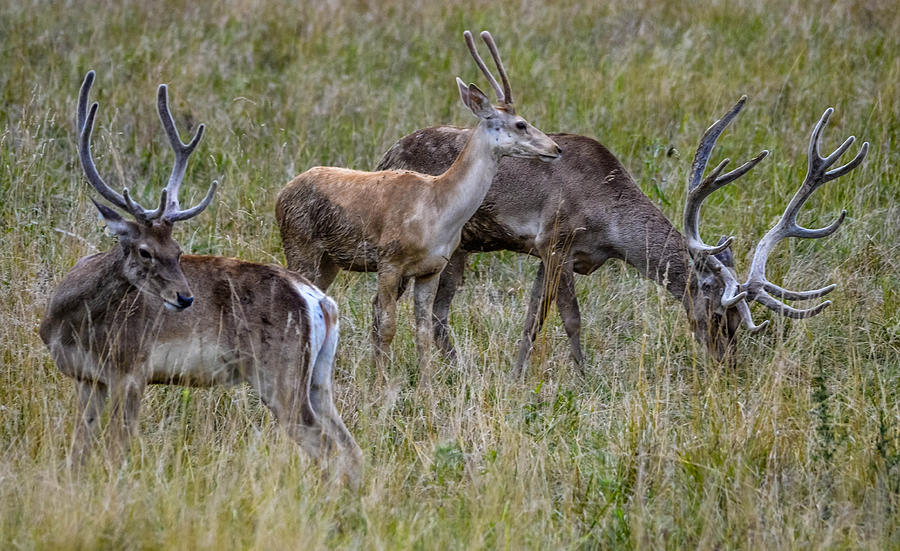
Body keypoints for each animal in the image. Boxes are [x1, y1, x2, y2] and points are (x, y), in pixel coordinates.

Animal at [38, 70, 362, 488]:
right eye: (145, 250)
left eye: (178, 251)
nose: (185, 298)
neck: (68, 322)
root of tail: (318, 299)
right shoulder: (87, 379)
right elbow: (79, 451)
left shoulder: (132, 369)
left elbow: (116, 450)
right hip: (319, 377)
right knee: (350, 446)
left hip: (281, 371)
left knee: (326, 445)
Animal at [274, 31, 560, 384]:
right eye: (521, 124)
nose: (555, 148)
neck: (437, 210)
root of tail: (281, 194)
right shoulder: (388, 261)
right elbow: (386, 325)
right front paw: (380, 383)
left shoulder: (431, 268)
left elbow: (422, 330)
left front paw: (427, 386)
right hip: (300, 244)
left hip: (329, 261)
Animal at [378, 97, 864, 378]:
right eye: (715, 315)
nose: (730, 367)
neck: (609, 224)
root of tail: (386, 154)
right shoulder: (556, 239)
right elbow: (567, 318)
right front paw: (581, 378)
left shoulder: (551, 254)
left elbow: (533, 316)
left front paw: (516, 376)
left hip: (459, 249)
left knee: (438, 313)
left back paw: (458, 371)